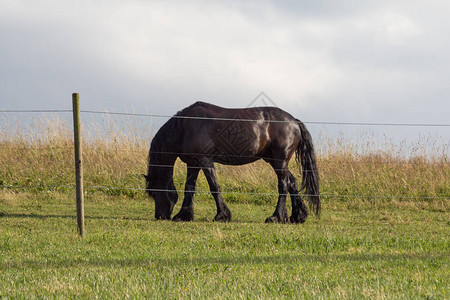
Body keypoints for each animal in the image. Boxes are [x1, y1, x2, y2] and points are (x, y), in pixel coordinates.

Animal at [145, 102, 320, 224]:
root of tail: (294, 121)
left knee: (283, 185)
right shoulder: (193, 163)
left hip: (279, 161)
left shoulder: (205, 160)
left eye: (154, 192)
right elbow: (189, 188)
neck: (186, 126)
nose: (160, 216)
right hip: (274, 161)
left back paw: (276, 217)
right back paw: (297, 216)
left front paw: (222, 215)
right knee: (292, 182)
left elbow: (214, 187)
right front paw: (184, 215)